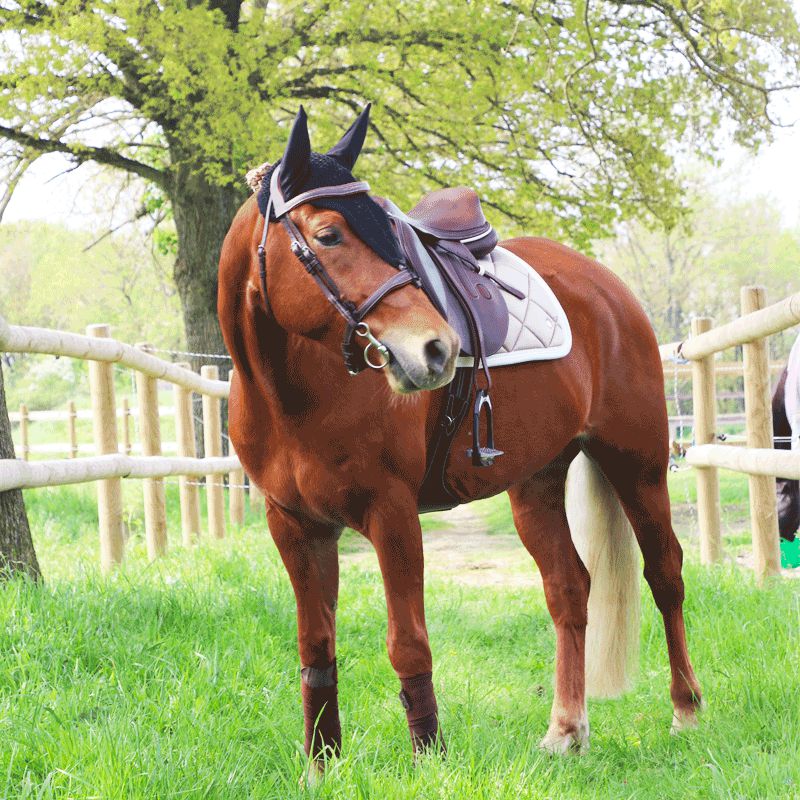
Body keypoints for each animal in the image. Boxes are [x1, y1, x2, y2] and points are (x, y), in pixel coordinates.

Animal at [217, 106, 702, 766]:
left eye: (390, 233)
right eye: (328, 235)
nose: (436, 348)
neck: (291, 393)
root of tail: (607, 287)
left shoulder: (392, 513)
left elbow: (408, 644)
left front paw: (428, 758)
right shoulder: (293, 525)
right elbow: (315, 648)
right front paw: (323, 767)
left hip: (638, 463)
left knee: (665, 574)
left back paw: (686, 710)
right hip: (536, 483)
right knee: (569, 588)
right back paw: (566, 728)